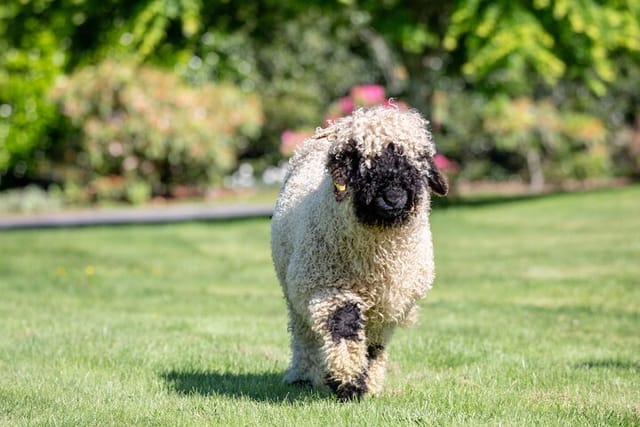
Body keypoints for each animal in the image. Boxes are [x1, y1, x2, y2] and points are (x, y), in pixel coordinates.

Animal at [272, 107, 450, 402]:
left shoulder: (390, 304)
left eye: (417, 163)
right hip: (294, 290)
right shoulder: (328, 288)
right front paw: (348, 382)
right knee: (304, 333)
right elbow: (343, 327)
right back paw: (302, 376)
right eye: (361, 163)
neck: (376, 259)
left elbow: (373, 347)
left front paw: (363, 382)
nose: (393, 197)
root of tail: (330, 128)